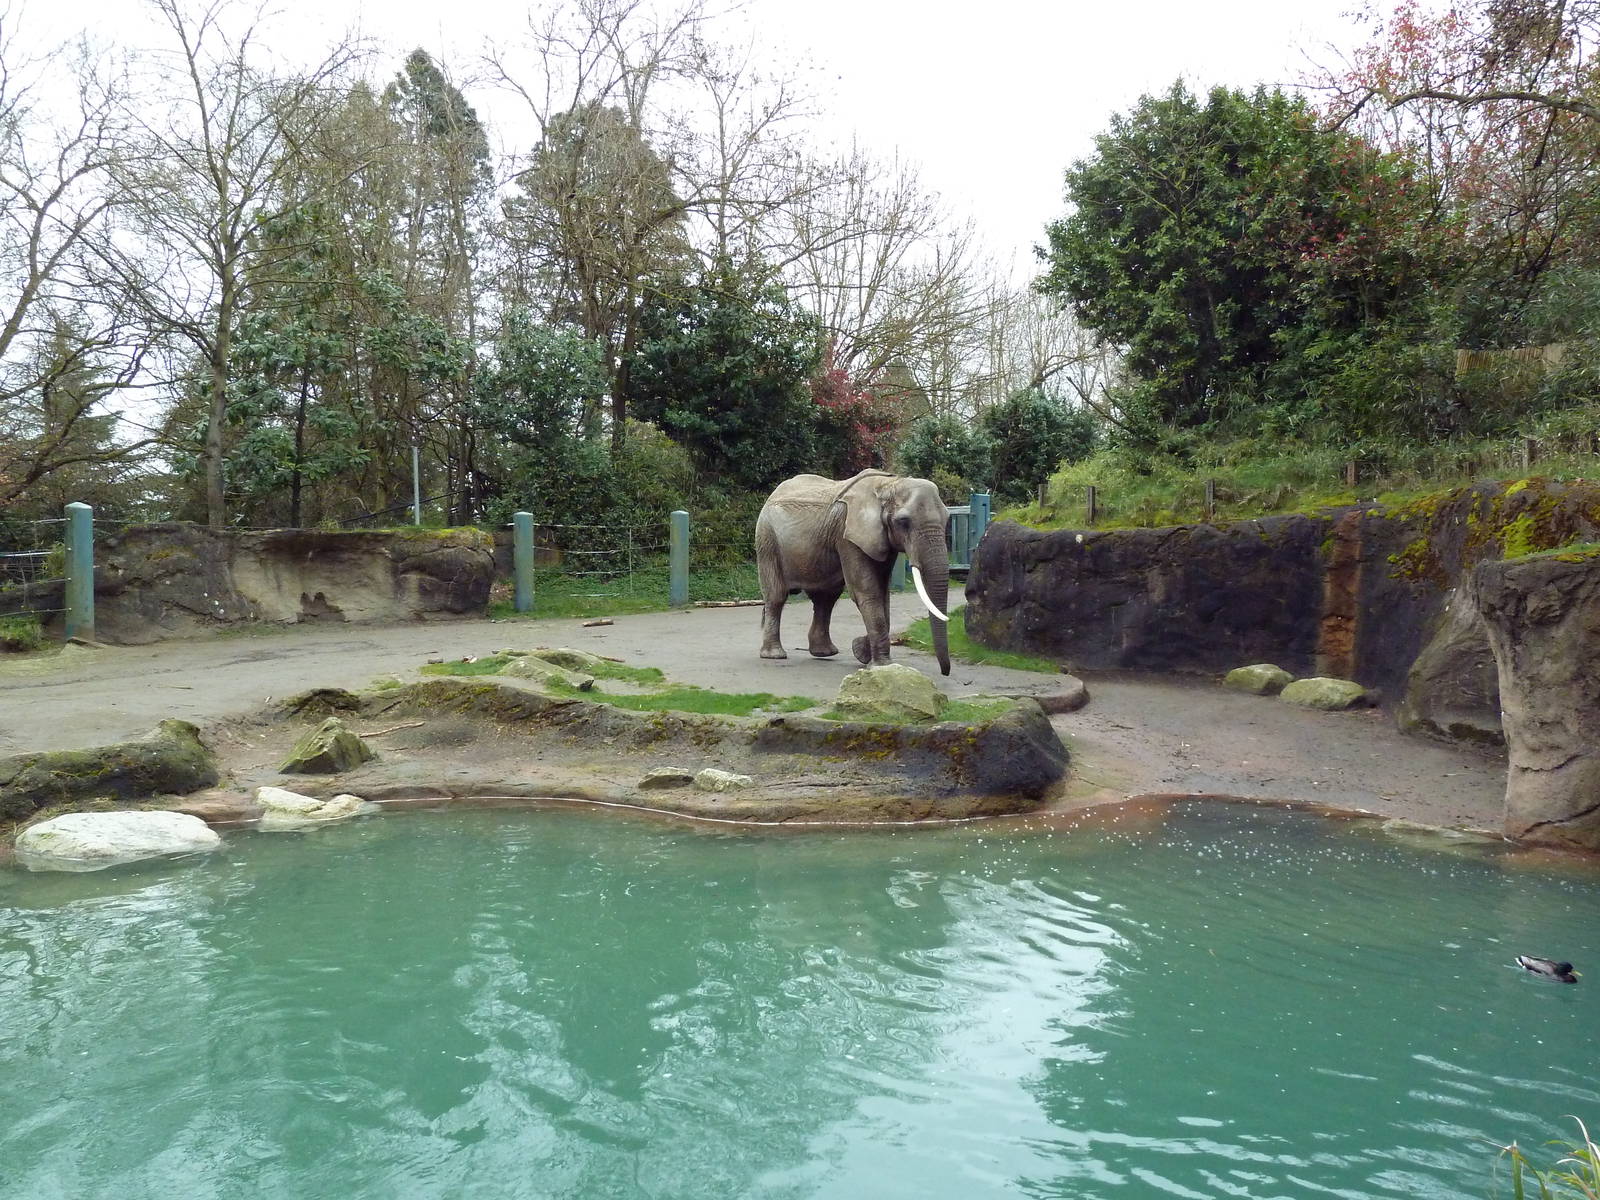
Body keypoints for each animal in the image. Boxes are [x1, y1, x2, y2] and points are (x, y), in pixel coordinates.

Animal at [754, 469, 951, 676]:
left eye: (947, 519)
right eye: (903, 522)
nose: (944, 672)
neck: (888, 484)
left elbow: (882, 592)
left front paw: (862, 653)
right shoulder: (847, 535)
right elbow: (866, 590)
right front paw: (881, 666)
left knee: (826, 598)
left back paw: (824, 653)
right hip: (767, 539)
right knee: (777, 596)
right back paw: (774, 655)